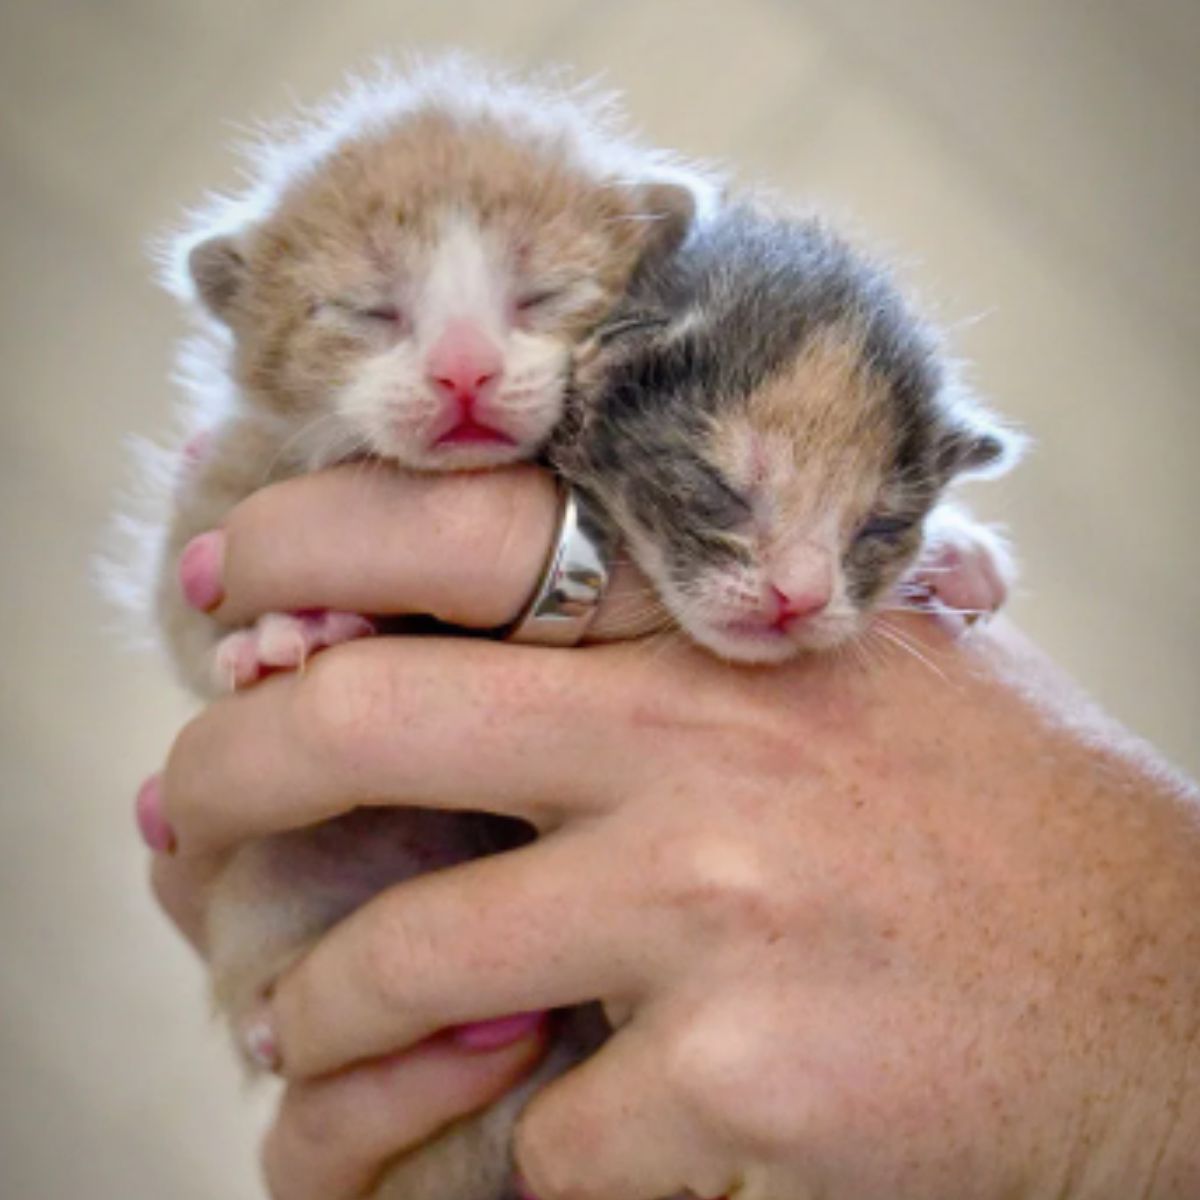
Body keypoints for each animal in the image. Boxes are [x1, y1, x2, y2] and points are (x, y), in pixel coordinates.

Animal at [113, 58, 700, 1200]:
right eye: (368, 310)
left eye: (544, 293)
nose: (464, 372)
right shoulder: (225, 489)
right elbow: (186, 602)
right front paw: (280, 627)